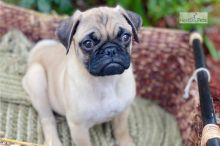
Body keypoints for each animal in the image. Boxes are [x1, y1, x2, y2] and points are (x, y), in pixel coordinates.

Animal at [22, 5, 142, 146]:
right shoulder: (78, 127)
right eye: (88, 43)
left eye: (125, 37)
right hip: (37, 79)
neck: (106, 80)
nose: (110, 50)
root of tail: (35, 55)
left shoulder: (122, 113)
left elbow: (121, 131)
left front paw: (127, 142)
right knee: (47, 119)